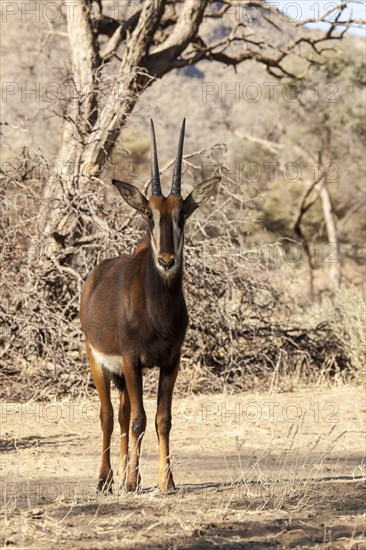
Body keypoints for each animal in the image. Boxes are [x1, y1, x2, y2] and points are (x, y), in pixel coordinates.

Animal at [80, 118, 220, 494]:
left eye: (183, 213)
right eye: (148, 213)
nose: (167, 261)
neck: (156, 311)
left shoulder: (170, 361)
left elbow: (162, 419)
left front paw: (165, 481)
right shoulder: (133, 361)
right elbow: (140, 420)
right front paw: (130, 481)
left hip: (121, 372)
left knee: (123, 414)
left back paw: (125, 472)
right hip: (99, 362)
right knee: (109, 416)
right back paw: (105, 479)